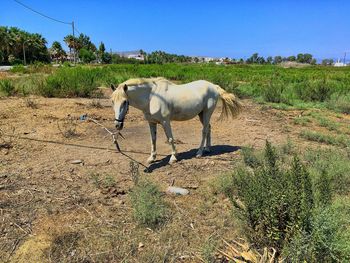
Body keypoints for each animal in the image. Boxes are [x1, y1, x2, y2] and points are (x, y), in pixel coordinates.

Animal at [110, 77, 242, 165]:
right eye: (112, 101)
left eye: (125, 102)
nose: (117, 125)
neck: (152, 96)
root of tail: (214, 86)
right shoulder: (151, 122)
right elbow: (153, 139)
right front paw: (152, 158)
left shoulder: (165, 122)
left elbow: (170, 139)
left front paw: (173, 157)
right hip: (202, 115)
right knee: (208, 128)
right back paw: (207, 149)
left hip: (207, 113)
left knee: (204, 131)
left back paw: (199, 153)